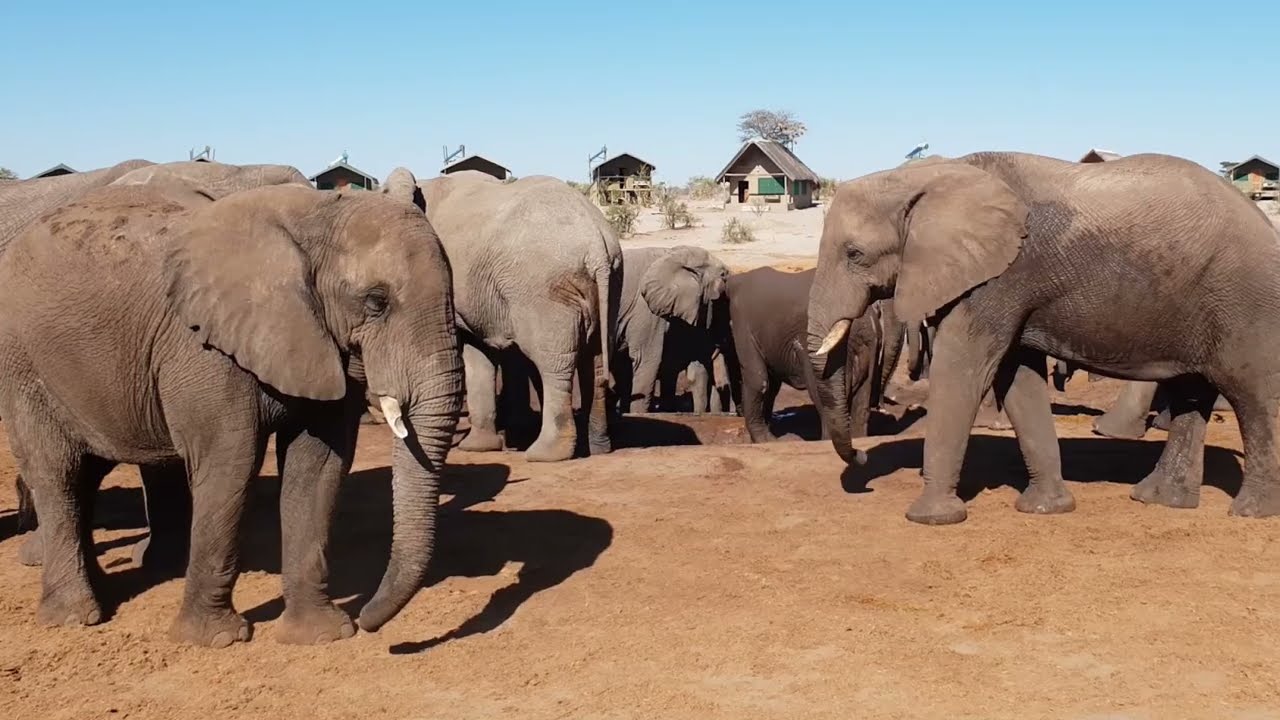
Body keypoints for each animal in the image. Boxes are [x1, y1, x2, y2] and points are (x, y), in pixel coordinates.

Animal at [381, 168, 621, 462]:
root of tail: (597, 244)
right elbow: (486, 351)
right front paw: (487, 444)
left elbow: (475, 354)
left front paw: (475, 448)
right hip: (608, 283)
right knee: (594, 360)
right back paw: (599, 447)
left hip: (543, 290)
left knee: (552, 363)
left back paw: (543, 454)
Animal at [806, 150, 1280, 524]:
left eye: (854, 254)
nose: (862, 456)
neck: (933, 175)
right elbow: (1016, 378)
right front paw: (1045, 509)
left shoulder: (998, 279)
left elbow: (963, 372)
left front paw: (931, 519)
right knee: (1191, 395)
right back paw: (1159, 500)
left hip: (1246, 303)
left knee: (1254, 395)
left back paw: (1251, 512)